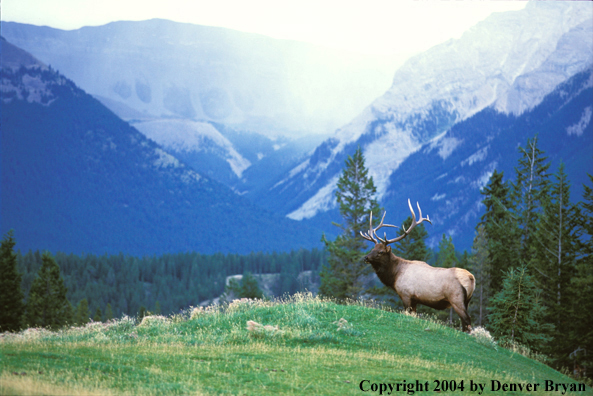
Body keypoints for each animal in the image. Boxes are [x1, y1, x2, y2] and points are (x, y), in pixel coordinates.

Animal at [358, 200, 474, 332]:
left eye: (381, 252)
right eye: (373, 249)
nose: (366, 258)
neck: (395, 276)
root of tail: (471, 278)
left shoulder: (406, 295)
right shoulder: (414, 300)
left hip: (456, 298)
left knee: (467, 320)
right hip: (467, 301)